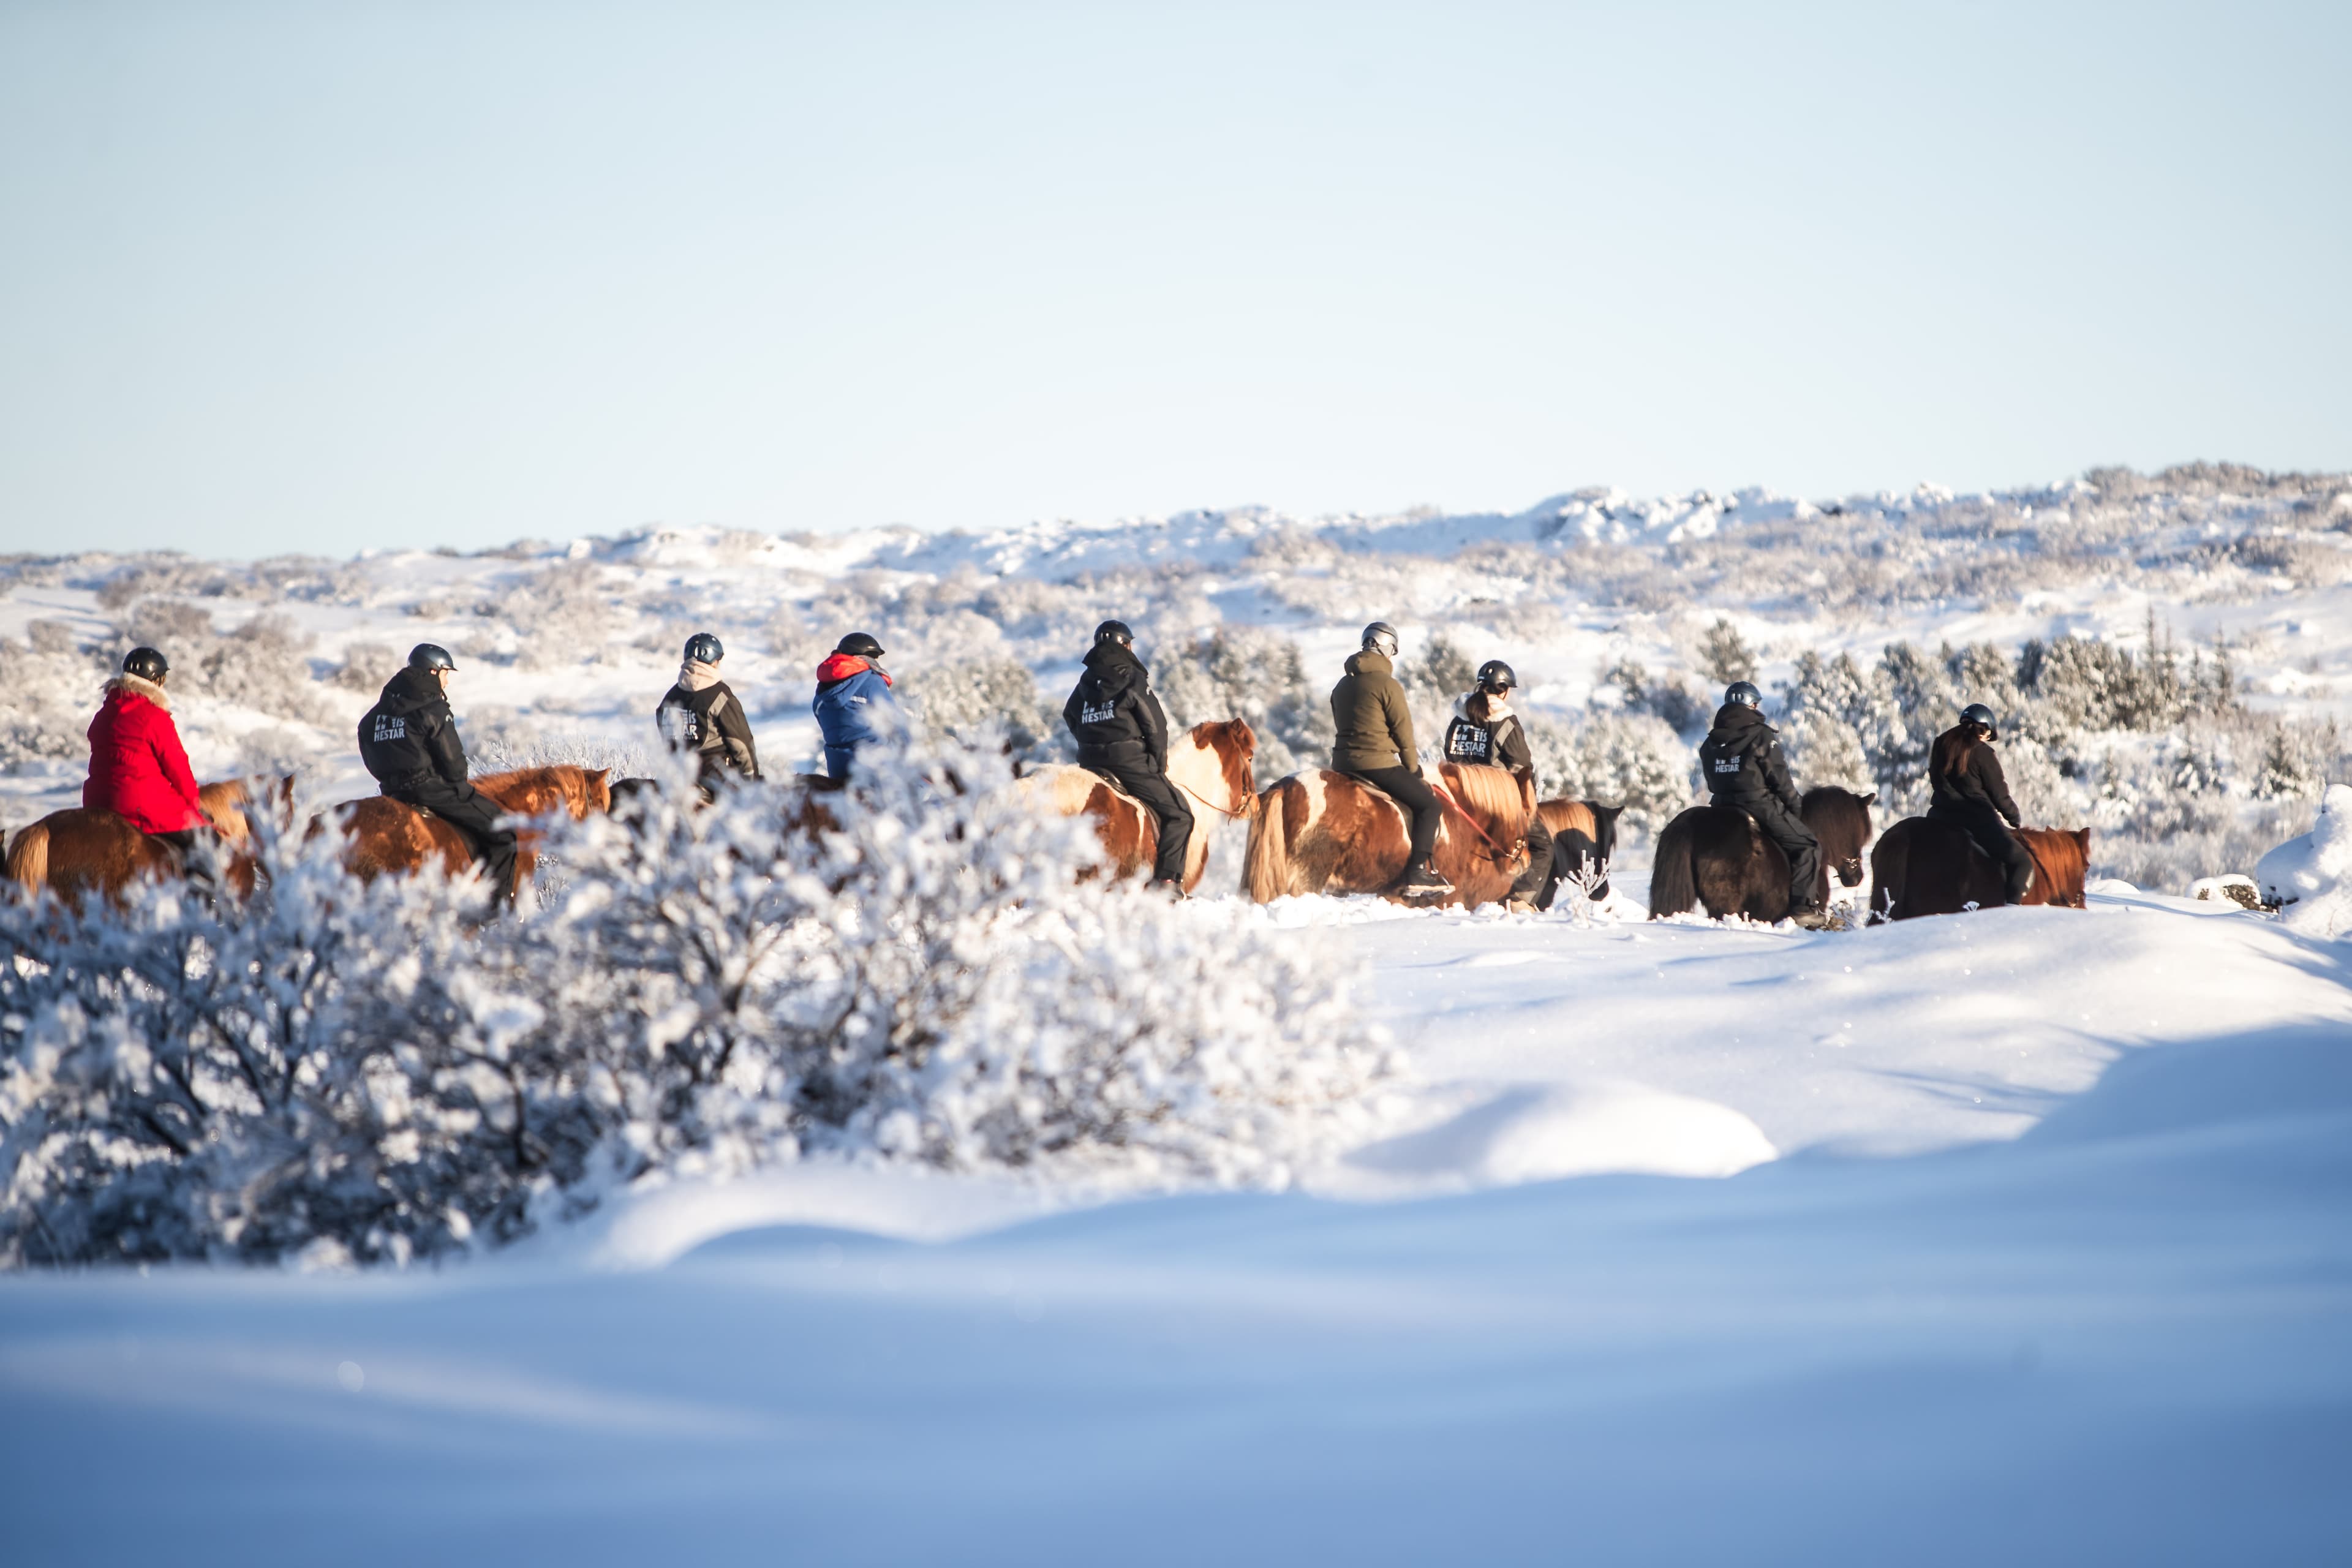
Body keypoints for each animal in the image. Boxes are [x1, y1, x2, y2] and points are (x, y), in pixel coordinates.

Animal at [1244, 761, 1534, 909]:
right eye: (1526, 812)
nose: (1526, 860)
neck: (1459, 806)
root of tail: (1286, 788)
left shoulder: (1396, 895)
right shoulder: (1446, 897)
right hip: (1306, 878)